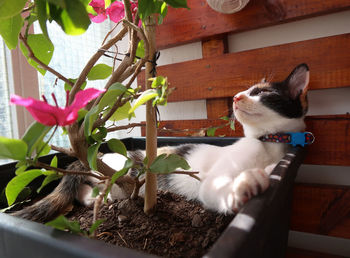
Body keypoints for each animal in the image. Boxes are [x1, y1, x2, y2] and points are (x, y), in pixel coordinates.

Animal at [13, 63, 308, 222]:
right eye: (246, 91)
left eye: (260, 92)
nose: (236, 97)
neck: (268, 142)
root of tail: (94, 157)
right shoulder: (216, 178)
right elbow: (220, 187)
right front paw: (244, 186)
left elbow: (270, 170)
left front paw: (262, 174)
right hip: (118, 175)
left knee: (86, 194)